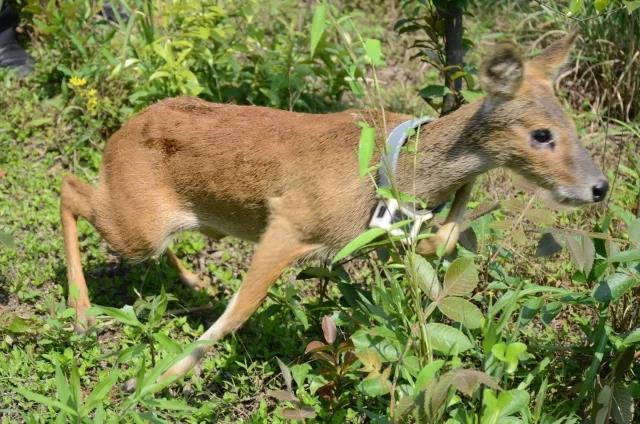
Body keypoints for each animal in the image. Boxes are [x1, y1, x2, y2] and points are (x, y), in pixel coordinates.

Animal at [58, 32, 604, 388]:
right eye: (541, 134)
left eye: (572, 125)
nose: (599, 187)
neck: (386, 165)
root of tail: (120, 134)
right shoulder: (290, 222)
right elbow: (236, 315)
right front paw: (149, 383)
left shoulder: (373, 235)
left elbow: (439, 246)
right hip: (138, 225)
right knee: (68, 187)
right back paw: (83, 315)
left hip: (159, 223)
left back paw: (192, 282)